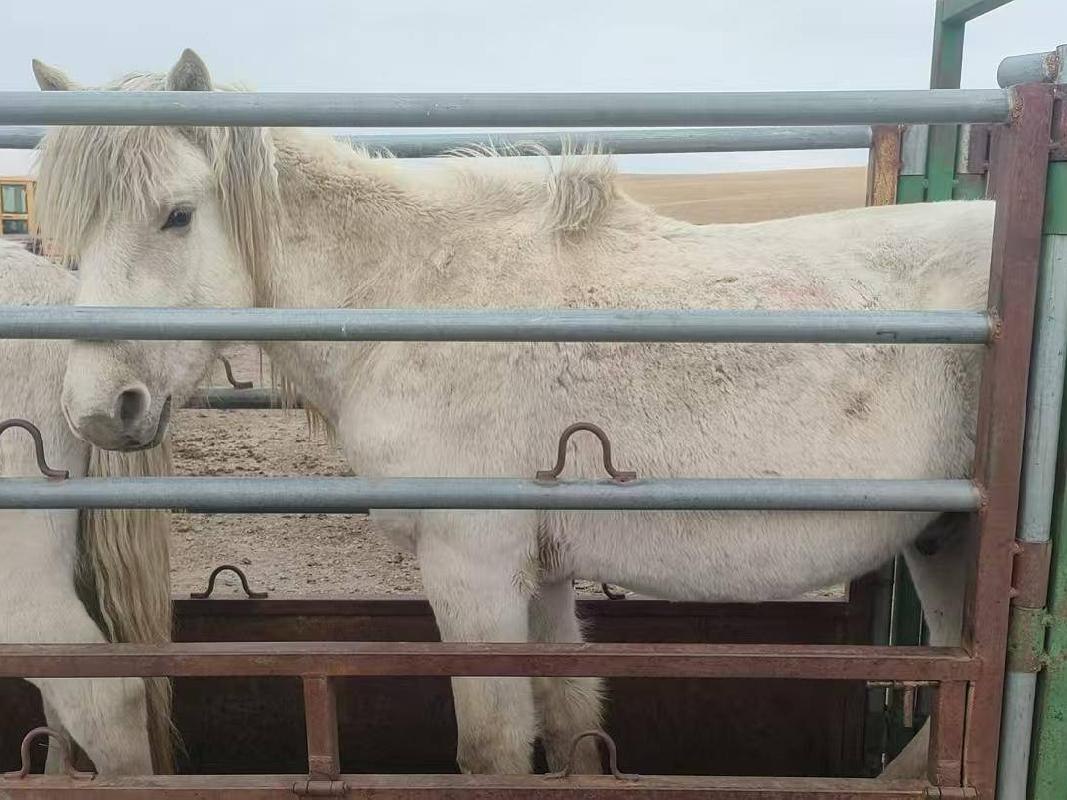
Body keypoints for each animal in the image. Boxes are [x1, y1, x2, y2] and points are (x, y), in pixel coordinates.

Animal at [30, 50, 987, 777]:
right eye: (67, 237)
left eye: (177, 215)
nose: (99, 411)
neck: (420, 299)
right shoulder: (545, 573)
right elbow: (568, 724)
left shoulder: (472, 566)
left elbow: (491, 745)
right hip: (941, 544)